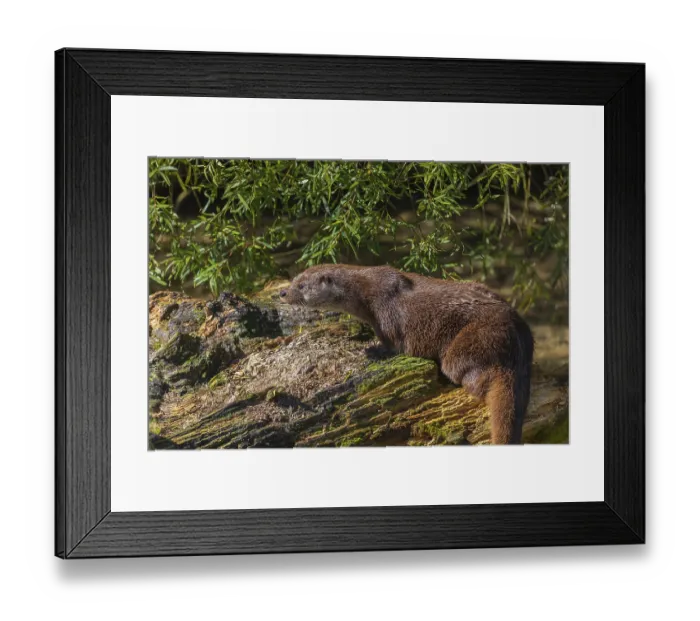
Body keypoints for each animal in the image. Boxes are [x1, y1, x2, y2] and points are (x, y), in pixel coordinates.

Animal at [279, 264, 534, 445]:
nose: (282, 292)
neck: (364, 289)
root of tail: (515, 339)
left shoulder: (386, 316)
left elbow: (392, 346)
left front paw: (371, 350)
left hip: (473, 342)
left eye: (301, 286)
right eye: (293, 280)